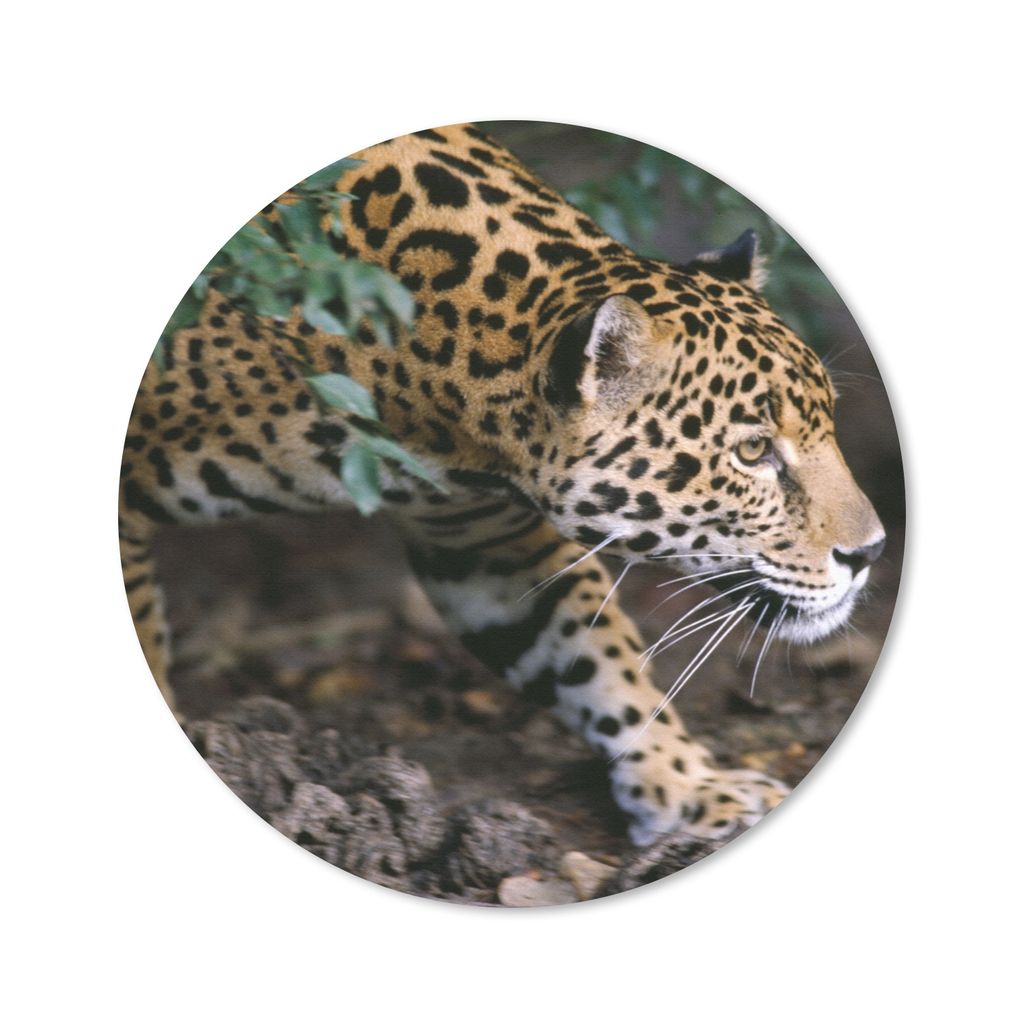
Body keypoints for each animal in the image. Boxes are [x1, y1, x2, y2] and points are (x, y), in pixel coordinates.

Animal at [120, 123, 885, 846]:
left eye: (827, 422)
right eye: (753, 451)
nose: (871, 552)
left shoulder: (484, 540)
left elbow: (592, 652)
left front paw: (690, 784)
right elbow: (146, 639)